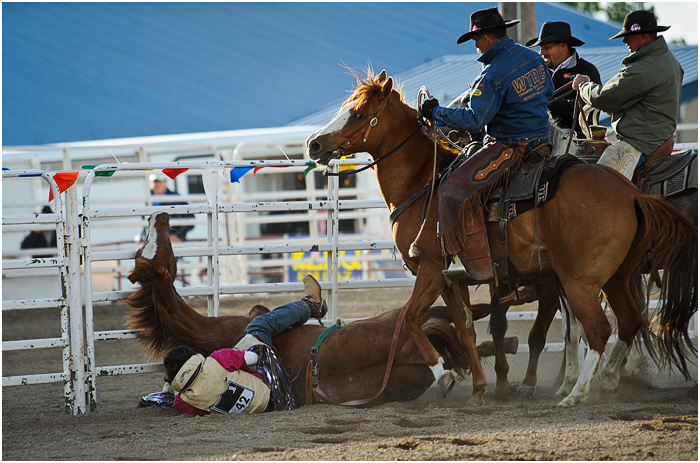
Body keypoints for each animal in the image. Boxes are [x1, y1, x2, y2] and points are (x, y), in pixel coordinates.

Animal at [125, 211, 517, 407]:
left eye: (150, 248)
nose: (161, 216)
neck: (212, 338)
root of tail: (405, 351)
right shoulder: (256, 319)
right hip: (398, 318)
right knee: (450, 330)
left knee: (456, 327)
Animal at [304, 68, 697, 406]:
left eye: (357, 114)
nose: (313, 144)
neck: (424, 184)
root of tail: (631, 193)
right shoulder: (454, 279)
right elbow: (467, 330)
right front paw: (479, 389)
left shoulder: (430, 269)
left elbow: (412, 319)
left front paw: (444, 375)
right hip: (616, 276)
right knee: (629, 321)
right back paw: (604, 381)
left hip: (580, 280)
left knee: (598, 329)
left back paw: (575, 394)